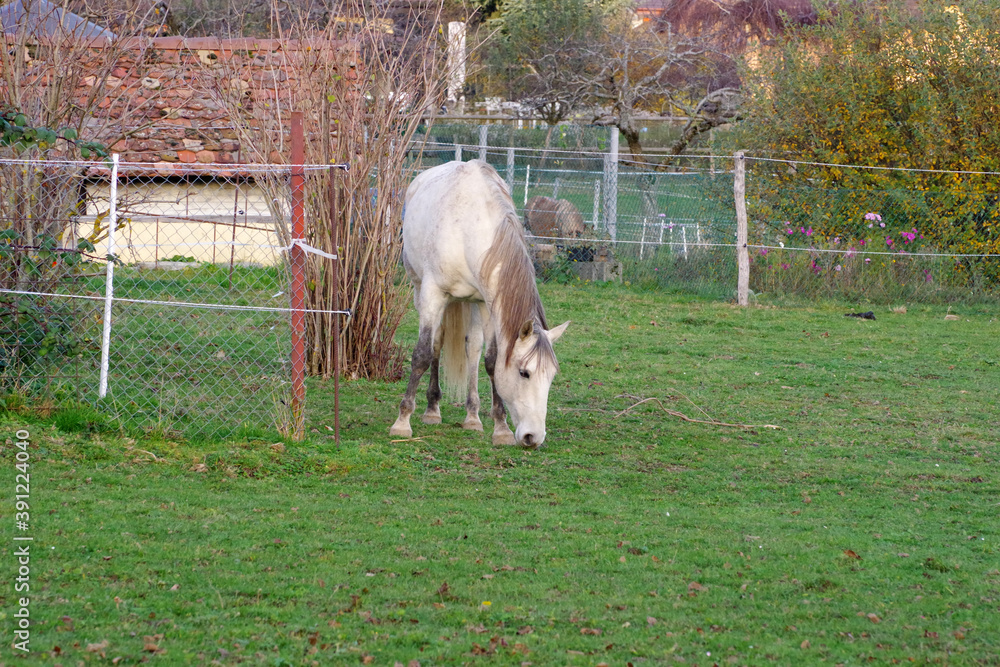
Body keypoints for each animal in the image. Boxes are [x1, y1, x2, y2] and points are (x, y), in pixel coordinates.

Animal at [389, 160, 570, 448]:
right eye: (524, 373)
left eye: (551, 376)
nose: (533, 437)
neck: (469, 228)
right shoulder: (431, 295)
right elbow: (421, 354)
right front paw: (402, 422)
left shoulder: (487, 303)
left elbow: (492, 360)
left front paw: (501, 428)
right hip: (423, 292)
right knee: (436, 343)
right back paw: (432, 410)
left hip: (471, 304)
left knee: (472, 348)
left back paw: (472, 417)